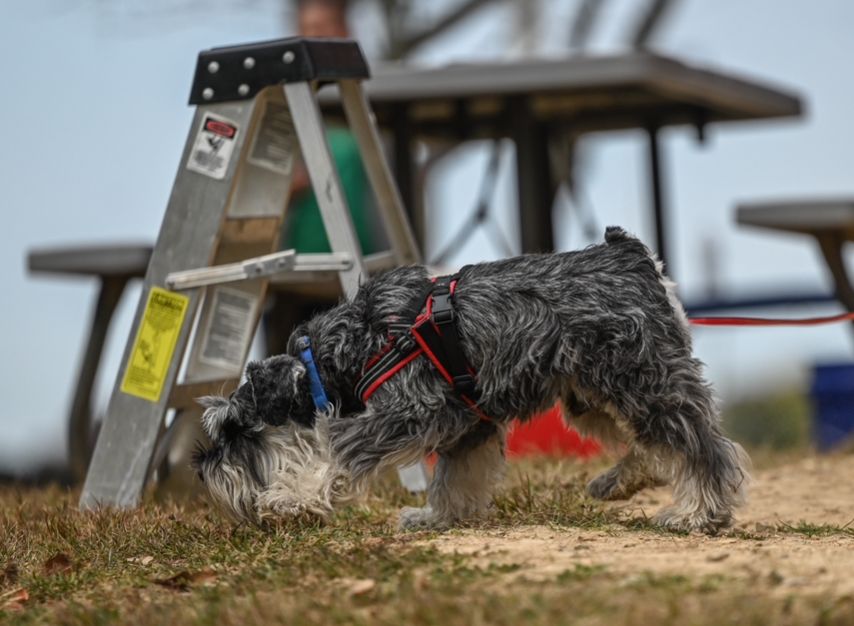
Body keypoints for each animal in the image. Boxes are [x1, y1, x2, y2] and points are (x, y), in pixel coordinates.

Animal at [192, 228, 748, 532]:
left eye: (234, 431)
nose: (202, 470)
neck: (333, 360)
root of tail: (631, 255)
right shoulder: (466, 423)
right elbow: (453, 478)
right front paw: (436, 518)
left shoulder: (407, 411)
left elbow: (335, 451)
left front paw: (291, 497)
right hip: (590, 396)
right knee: (651, 445)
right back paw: (621, 482)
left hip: (642, 380)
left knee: (700, 446)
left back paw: (699, 514)